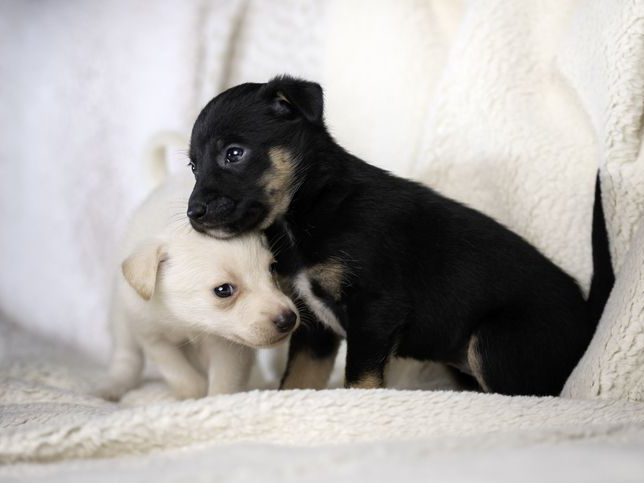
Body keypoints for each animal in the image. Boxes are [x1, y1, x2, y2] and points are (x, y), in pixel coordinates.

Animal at [96, 173, 300, 400]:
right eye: (223, 290)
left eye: (272, 268)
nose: (289, 320)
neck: (189, 324)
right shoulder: (153, 336)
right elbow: (178, 370)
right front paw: (193, 395)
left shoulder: (229, 348)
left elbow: (224, 381)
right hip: (122, 318)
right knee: (127, 355)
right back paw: (113, 385)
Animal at [185, 76, 592, 398]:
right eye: (192, 166)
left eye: (234, 154)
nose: (193, 214)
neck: (308, 210)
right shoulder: (313, 325)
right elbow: (298, 379)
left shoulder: (376, 308)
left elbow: (360, 380)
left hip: (496, 341)